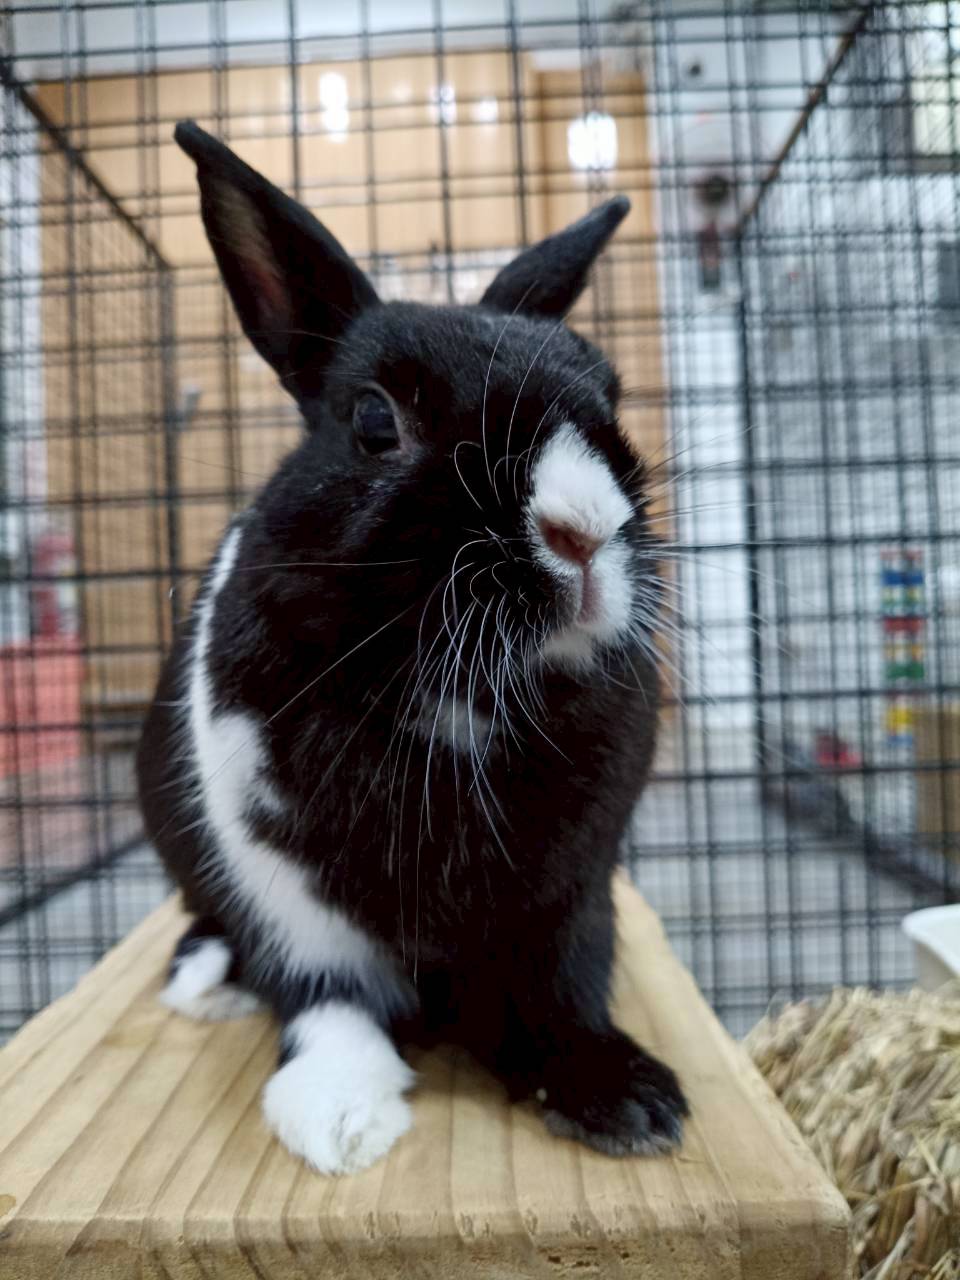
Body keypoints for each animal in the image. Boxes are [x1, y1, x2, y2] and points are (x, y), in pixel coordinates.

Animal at [137, 120, 688, 1176]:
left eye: (608, 398)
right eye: (373, 419)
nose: (583, 532)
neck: (461, 698)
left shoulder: (571, 896)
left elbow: (562, 987)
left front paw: (624, 1098)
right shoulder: (288, 892)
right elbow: (328, 996)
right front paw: (341, 1118)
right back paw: (205, 978)